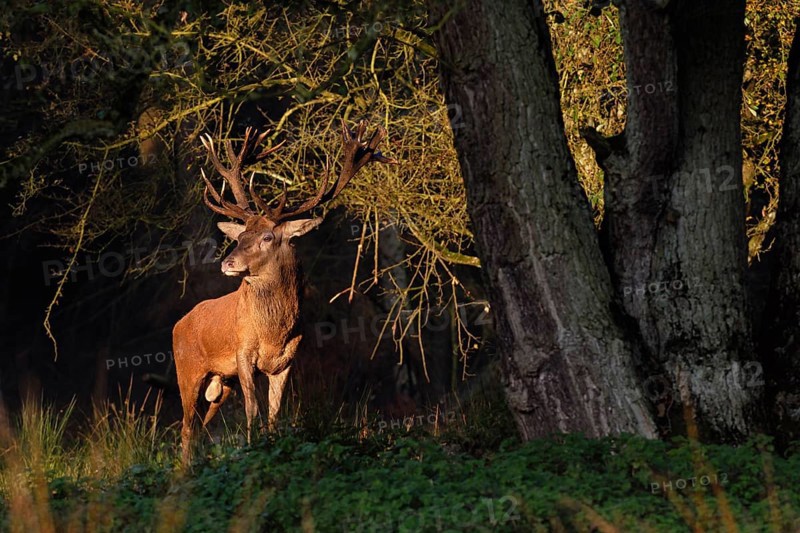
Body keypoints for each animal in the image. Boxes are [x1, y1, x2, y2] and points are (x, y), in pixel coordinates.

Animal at [173, 121, 395, 463]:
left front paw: (270, 446)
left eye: (267, 237)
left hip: (221, 383)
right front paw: (251, 450)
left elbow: (275, 413)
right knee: (185, 428)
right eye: (240, 236)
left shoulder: (287, 360)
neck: (273, 333)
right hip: (187, 369)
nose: (227, 262)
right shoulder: (243, 353)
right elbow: (253, 410)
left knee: (198, 427)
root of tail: (178, 324)